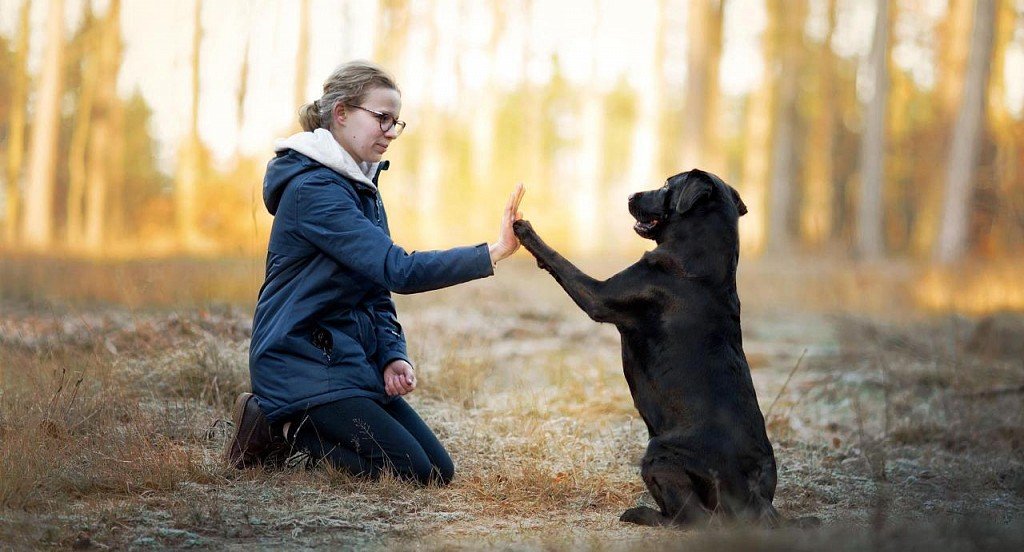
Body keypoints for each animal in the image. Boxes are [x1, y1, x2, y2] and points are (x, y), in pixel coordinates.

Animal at [516, 168, 778, 528]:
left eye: (668, 185)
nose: (630, 196)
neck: (699, 255)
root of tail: (752, 496)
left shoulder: (599, 296)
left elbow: (561, 262)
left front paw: (524, 229)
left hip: (658, 454)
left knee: (691, 518)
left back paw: (641, 514)